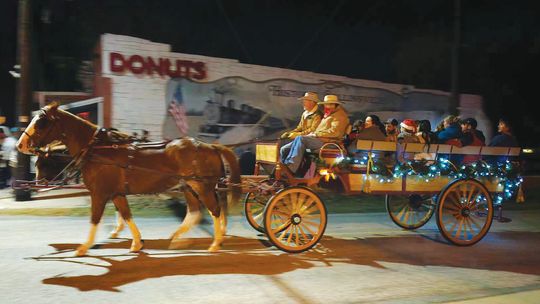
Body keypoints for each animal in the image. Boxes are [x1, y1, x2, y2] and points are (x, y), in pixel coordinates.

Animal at [17, 103, 240, 255]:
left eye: (41, 122)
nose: (20, 145)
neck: (96, 149)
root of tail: (210, 146)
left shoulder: (99, 193)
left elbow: (95, 219)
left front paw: (83, 247)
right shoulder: (116, 193)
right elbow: (126, 215)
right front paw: (136, 243)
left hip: (202, 187)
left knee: (215, 211)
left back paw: (215, 243)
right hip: (189, 187)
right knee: (195, 213)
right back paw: (177, 239)